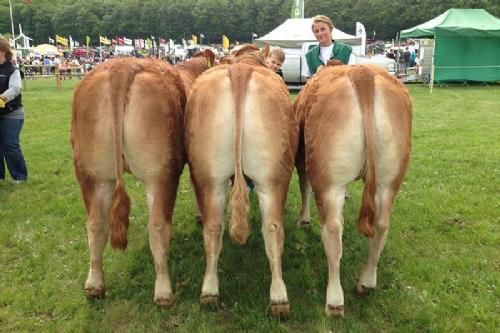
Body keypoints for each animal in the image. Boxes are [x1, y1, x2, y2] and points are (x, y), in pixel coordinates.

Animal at [70, 51, 213, 306]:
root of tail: (122, 68)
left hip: (91, 173)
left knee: (96, 225)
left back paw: (94, 286)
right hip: (161, 172)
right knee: (157, 226)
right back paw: (164, 291)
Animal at [186, 44, 298, 316]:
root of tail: (240, 71)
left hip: (210, 176)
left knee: (214, 227)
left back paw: (210, 291)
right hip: (273, 178)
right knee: (273, 228)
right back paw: (279, 297)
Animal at [294, 63, 412, 316]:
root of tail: (362, 73)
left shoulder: (301, 155)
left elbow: (303, 186)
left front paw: (304, 220)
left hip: (328, 180)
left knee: (332, 231)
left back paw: (334, 300)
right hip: (389, 180)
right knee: (381, 226)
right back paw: (366, 282)